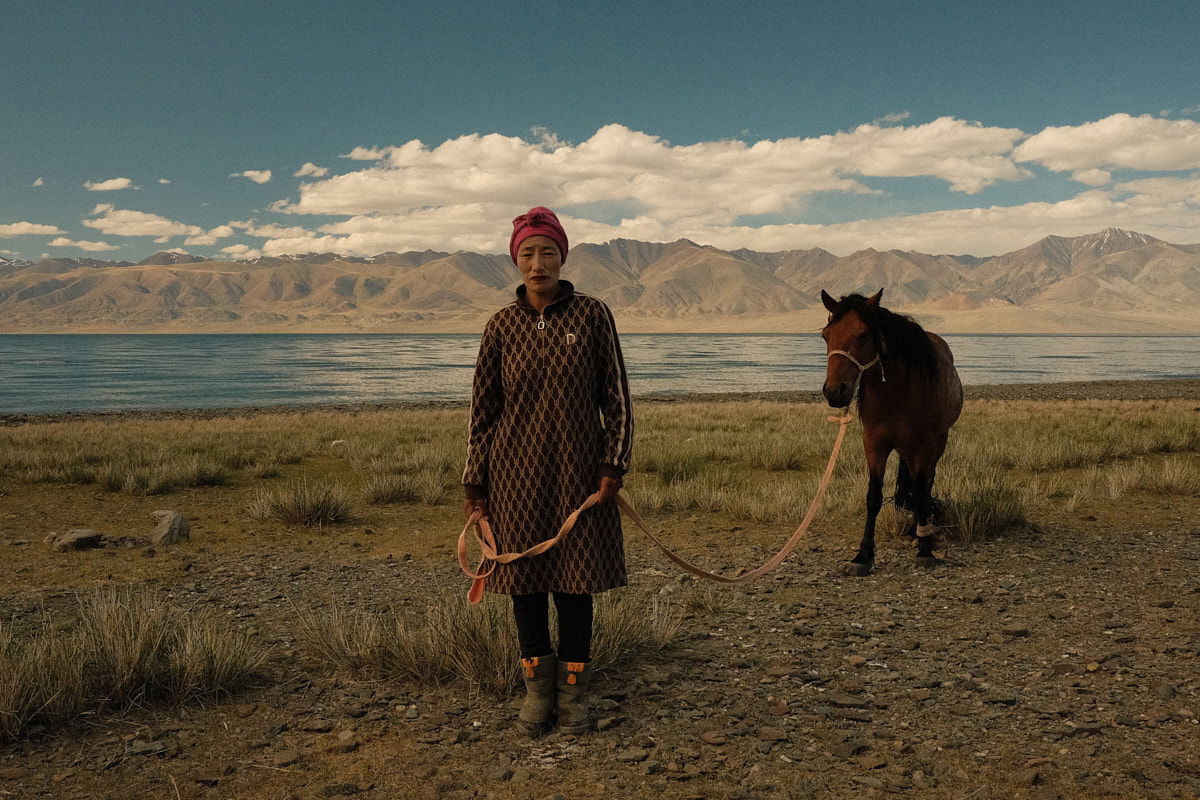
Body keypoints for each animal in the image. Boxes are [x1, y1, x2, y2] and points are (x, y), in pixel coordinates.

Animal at [816, 287, 964, 575]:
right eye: (826, 335)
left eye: (863, 334)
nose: (835, 391)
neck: (897, 392)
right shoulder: (874, 443)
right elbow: (873, 496)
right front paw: (863, 555)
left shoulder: (924, 445)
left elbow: (921, 491)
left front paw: (925, 550)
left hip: (937, 443)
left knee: (925, 483)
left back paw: (922, 530)